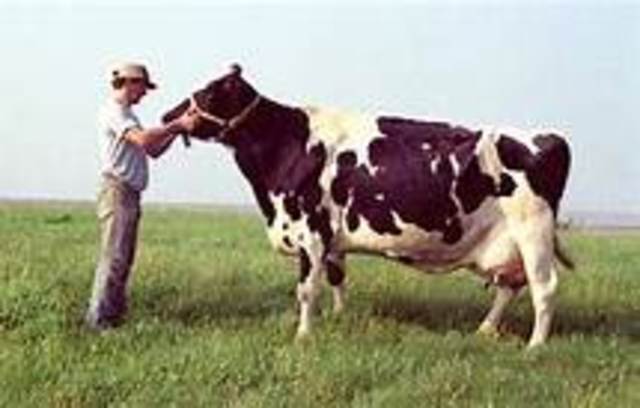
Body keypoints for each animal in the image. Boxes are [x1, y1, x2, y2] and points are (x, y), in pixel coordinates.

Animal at [163, 65, 573, 347]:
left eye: (208, 93)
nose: (167, 116)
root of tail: (549, 136)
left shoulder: (310, 231)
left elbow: (306, 289)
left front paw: (303, 336)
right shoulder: (331, 238)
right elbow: (337, 278)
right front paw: (338, 318)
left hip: (532, 229)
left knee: (544, 287)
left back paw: (535, 346)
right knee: (511, 285)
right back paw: (485, 330)